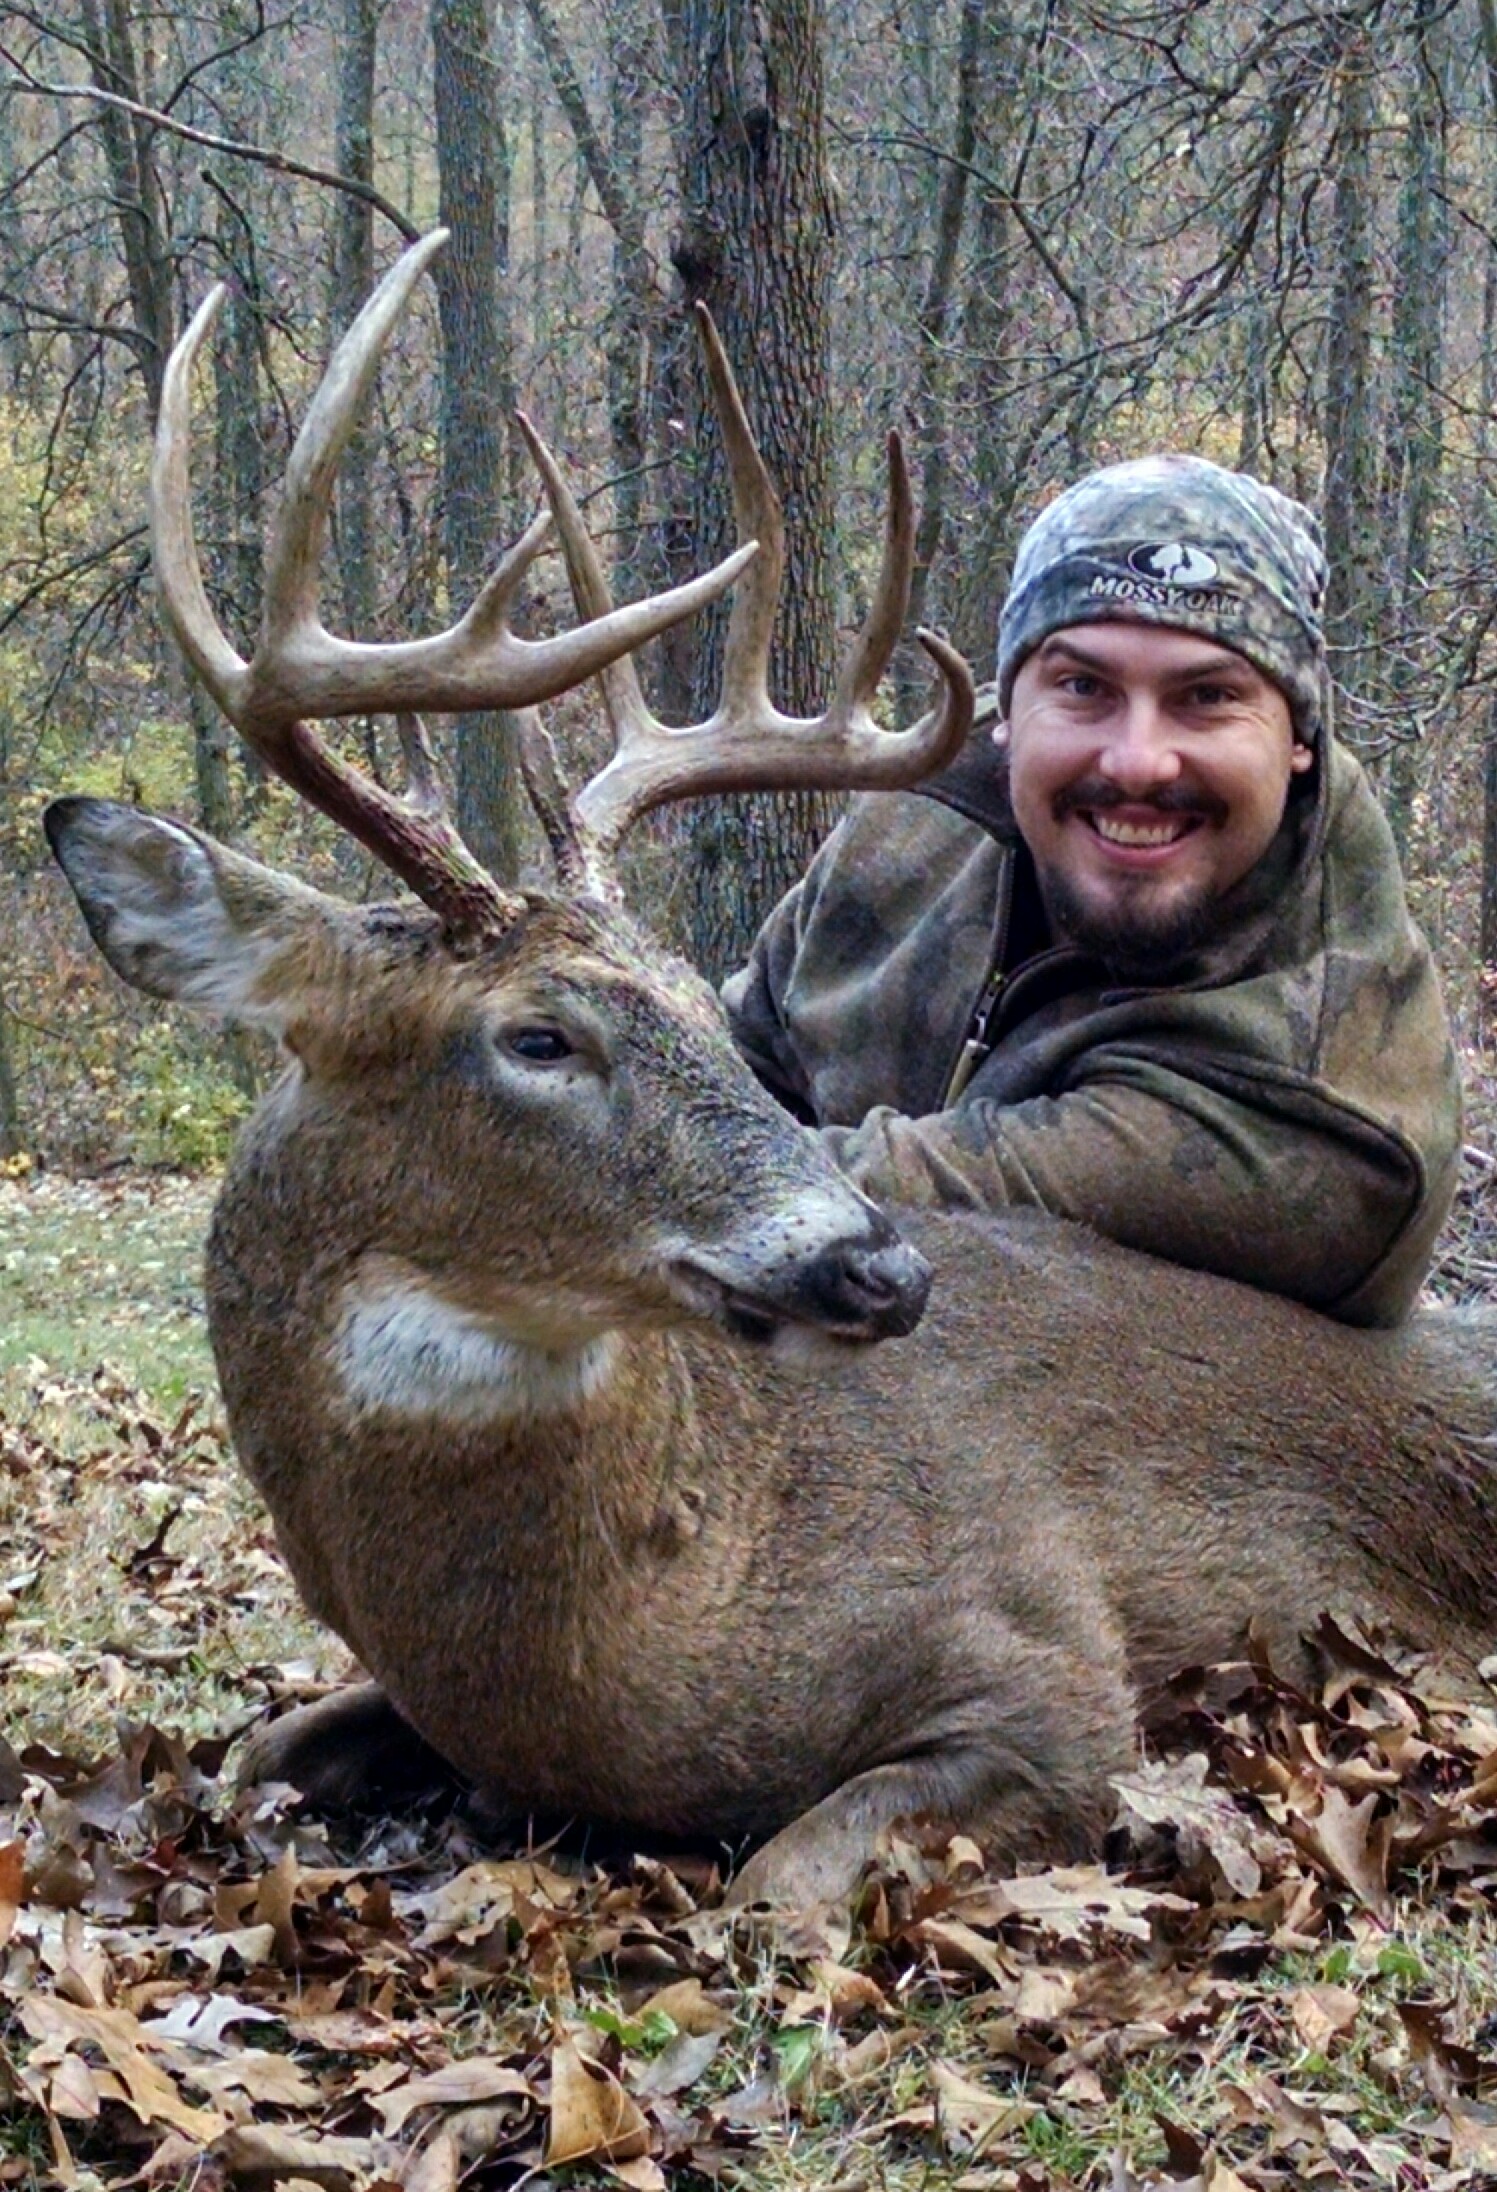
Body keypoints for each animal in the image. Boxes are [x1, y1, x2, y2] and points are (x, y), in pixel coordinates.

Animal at [46, 235, 1497, 1911]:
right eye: (538, 1034)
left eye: (690, 989)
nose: (884, 1270)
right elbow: (252, 1756)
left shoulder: (1051, 1666)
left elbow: (770, 1892)